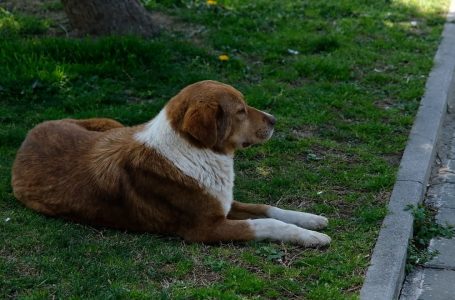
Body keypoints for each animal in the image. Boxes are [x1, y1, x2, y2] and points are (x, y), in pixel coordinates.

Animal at [10, 79, 332, 246]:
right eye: (240, 111)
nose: (275, 120)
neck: (196, 153)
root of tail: (29, 135)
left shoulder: (223, 202)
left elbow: (267, 208)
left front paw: (311, 220)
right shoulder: (205, 229)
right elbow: (266, 223)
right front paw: (313, 237)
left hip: (112, 125)